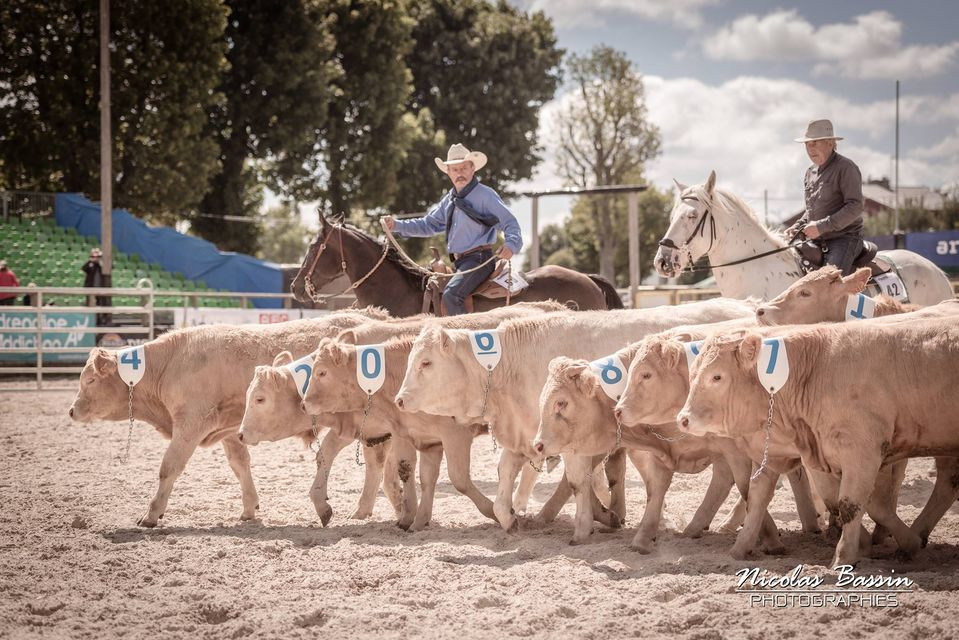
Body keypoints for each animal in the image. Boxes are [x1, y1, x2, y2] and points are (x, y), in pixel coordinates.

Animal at [66, 308, 390, 528]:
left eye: (91, 380)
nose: (71, 410)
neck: (172, 362)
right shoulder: (231, 430)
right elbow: (239, 464)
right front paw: (249, 508)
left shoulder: (190, 424)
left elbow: (169, 468)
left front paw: (151, 514)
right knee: (375, 459)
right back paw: (363, 509)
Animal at [396, 300, 756, 536]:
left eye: (426, 362)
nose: (400, 399)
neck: (506, 367)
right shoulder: (526, 436)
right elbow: (507, 478)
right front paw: (511, 518)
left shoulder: (566, 438)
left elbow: (577, 479)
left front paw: (599, 518)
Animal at [680, 322, 959, 568]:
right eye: (692, 375)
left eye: (717, 376)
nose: (683, 419)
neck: (815, 372)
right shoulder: (785, 450)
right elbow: (759, 496)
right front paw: (740, 548)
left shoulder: (862, 449)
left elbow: (851, 503)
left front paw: (844, 557)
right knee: (947, 484)